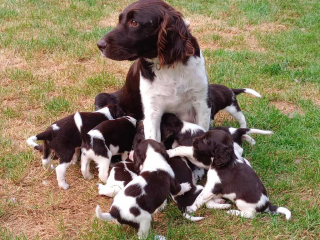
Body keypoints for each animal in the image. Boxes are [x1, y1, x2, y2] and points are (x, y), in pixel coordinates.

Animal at [97, 0, 212, 142]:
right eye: (119, 20)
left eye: (134, 22)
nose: (99, 44)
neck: (167, 67)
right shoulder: (152, 111)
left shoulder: (202, 103)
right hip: (102, 97)